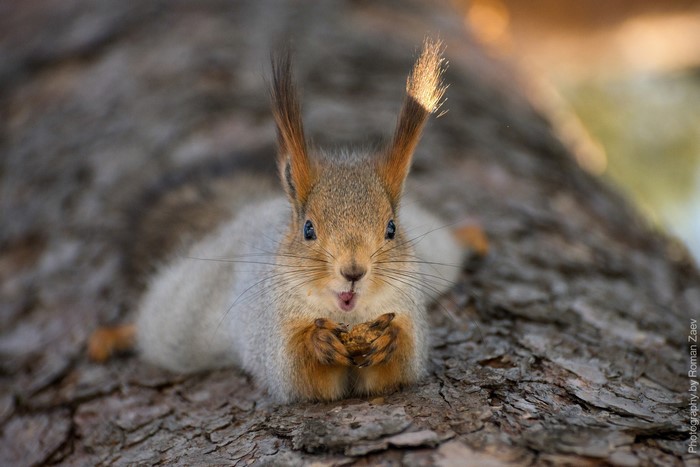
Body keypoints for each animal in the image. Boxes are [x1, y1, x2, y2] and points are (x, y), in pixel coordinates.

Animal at [89, 39, 470, 402]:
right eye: (308, 229)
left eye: (391, 228)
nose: (353, 272)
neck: (348, 317)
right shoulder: (272, 332)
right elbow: (295, 374)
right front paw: (318, 342)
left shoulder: (407, 311)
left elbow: (401, 367)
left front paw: (388, 338)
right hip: (183, 313)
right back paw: (113, 336)